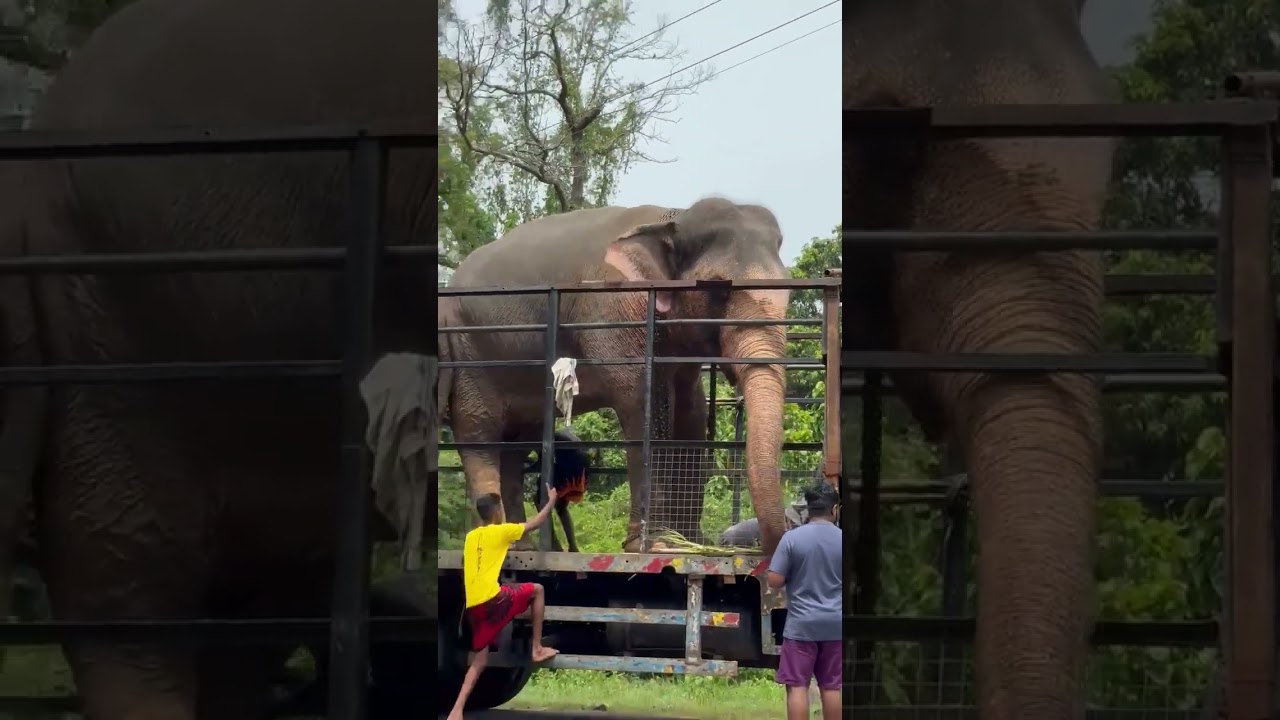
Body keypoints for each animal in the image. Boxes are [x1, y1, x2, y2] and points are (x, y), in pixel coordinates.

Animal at [438, 198, 792, 555]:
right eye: (718, 290)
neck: (671, 218)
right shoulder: (618, 312)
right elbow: (642, 405)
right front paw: (654, 545)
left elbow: (691, 411)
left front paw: (691, 542)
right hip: (468, 350)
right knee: (479, 431)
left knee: (515, 444)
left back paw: (522, 546)